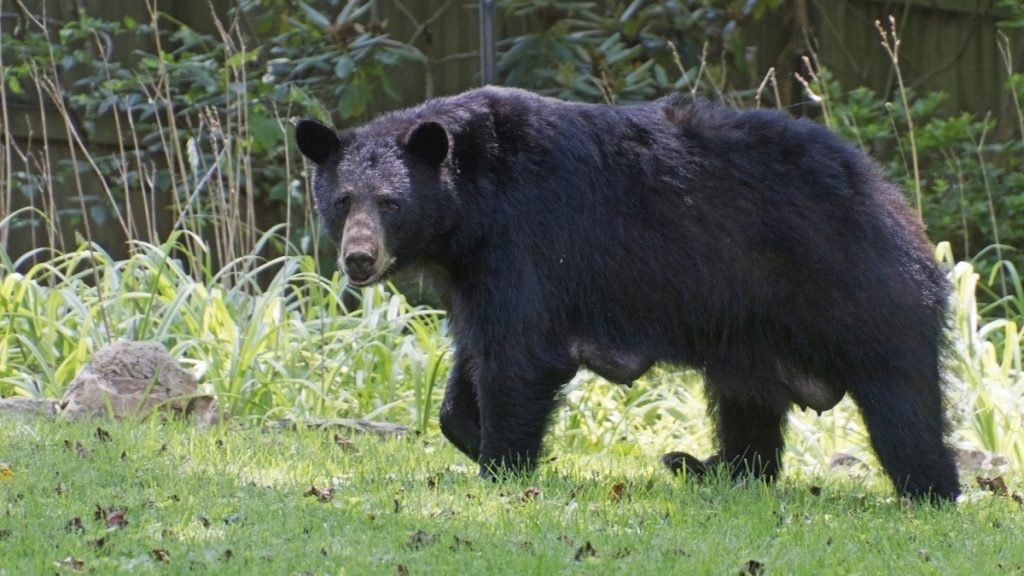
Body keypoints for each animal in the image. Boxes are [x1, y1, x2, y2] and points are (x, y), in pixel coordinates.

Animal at [294, 84, 958, 498]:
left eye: (391, 203)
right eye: (342, 200)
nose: (358, 259)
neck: (471, 204)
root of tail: (899, 206)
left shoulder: (528, 238)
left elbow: (521, 355)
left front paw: (502, 467)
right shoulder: (473, 269)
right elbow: (476, 357)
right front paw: (474, 435)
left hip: (859, 290)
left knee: (903, 401)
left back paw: (929, 490)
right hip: (750, 329)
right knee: (746, 404)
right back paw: (711, 468)